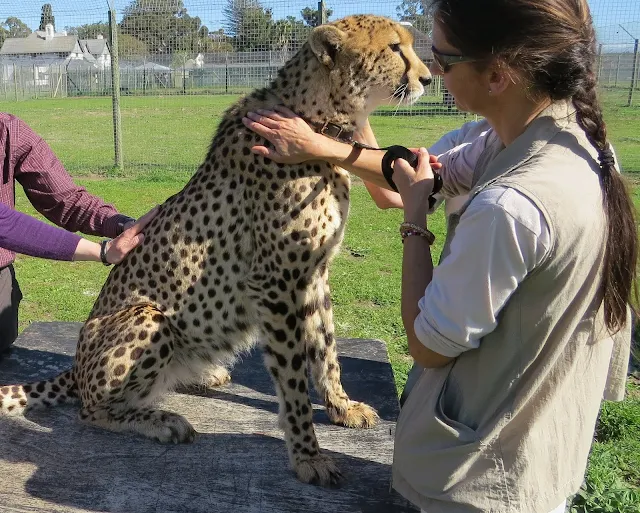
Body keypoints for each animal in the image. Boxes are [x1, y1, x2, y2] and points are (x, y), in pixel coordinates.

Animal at [1, 15, 430, 484]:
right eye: (395, 47)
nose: (428, 78)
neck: (316, 119)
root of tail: (76, 367)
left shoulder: (314, 274)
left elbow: (326, 350)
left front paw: (341, 407)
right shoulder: (275, 284)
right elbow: (293, 379)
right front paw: (308, 456)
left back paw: (202, 375)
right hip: (149, 317)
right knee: (90, 409)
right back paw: (161, 420)